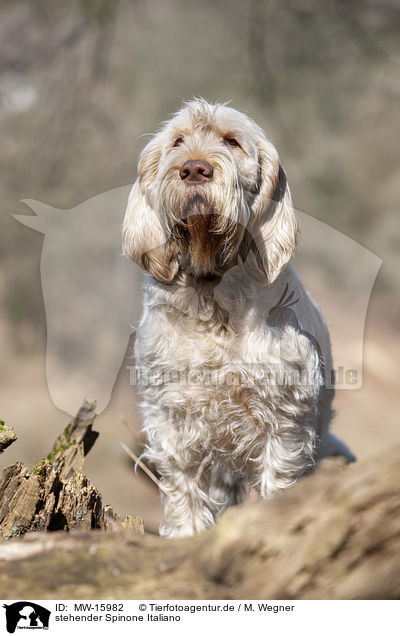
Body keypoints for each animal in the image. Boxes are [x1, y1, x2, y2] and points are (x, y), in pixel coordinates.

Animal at [122, 99, 354, 536]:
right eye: (177, 141)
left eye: (232, 142)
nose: (194, 169)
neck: (213, 299)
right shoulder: (173, 416)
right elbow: (184, 489)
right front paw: (186, 536)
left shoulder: (283, 420)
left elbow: (278, 484)